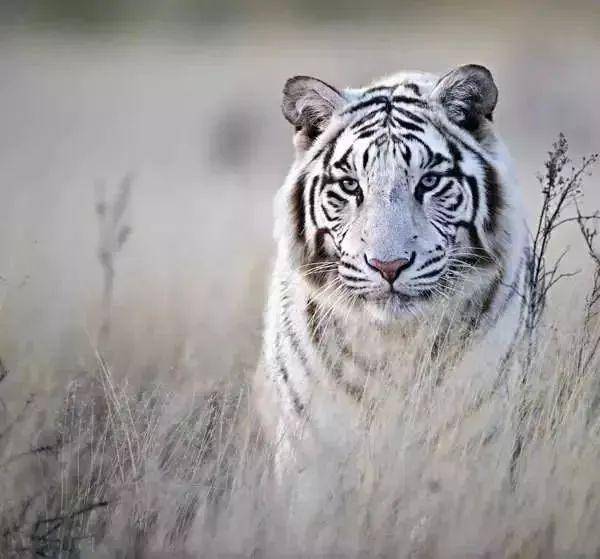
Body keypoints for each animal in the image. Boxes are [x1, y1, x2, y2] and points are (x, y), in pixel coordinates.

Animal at [253, 65, 528, 504]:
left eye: (429, 182)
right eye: (350, 186)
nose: (388, 266)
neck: (396, 345)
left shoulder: (479, 440)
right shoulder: (311, 453)